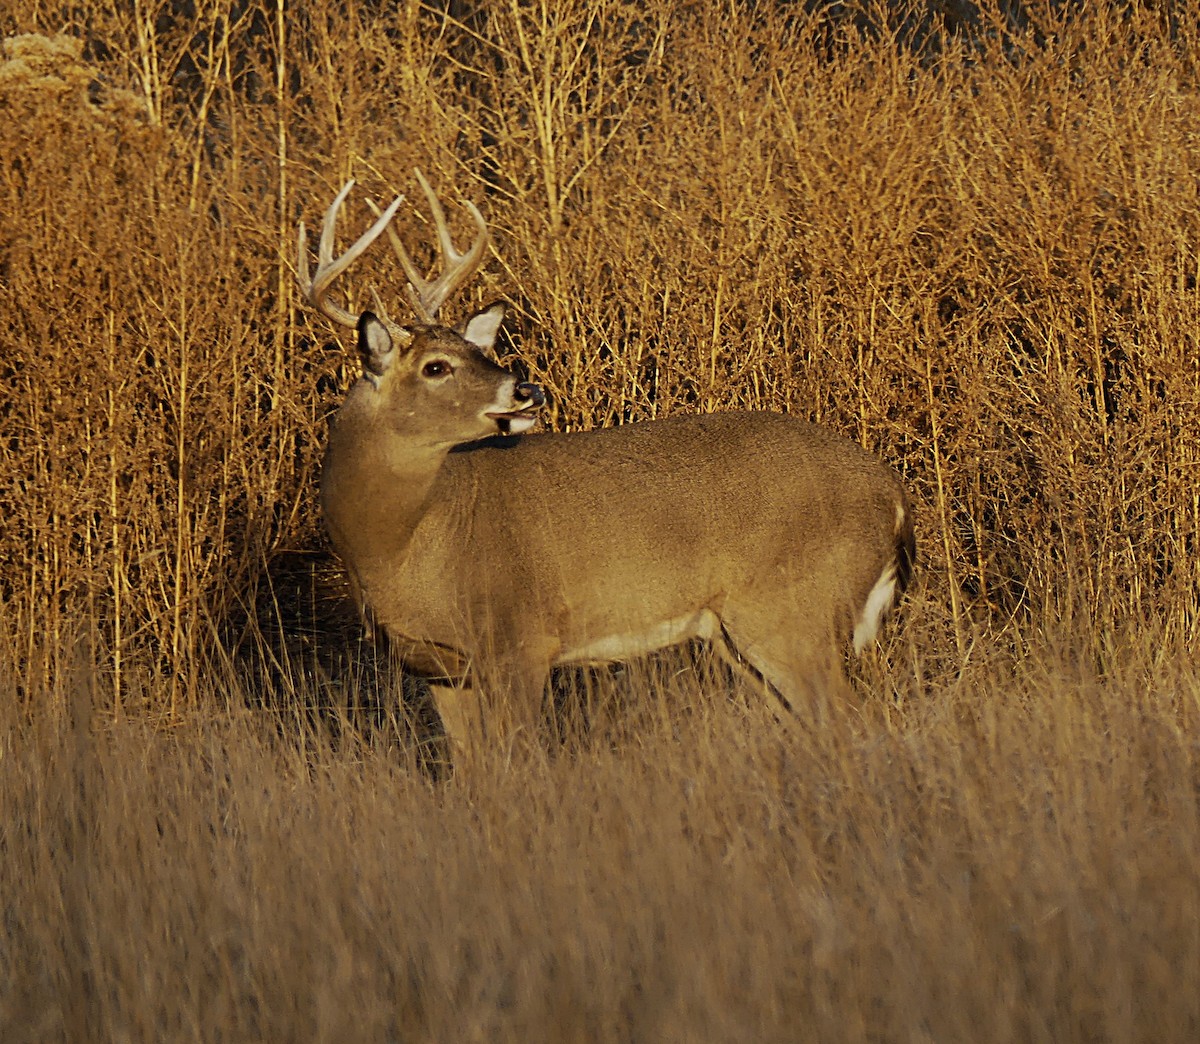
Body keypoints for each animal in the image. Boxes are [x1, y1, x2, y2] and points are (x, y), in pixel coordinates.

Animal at [297, 172, 915, 767]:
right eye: (436, 366)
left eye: (478, 353)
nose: (525, 389)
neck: (399, 546)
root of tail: (893, 494)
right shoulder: (439, 670)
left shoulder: (520, 638)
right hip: (734, 633)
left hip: (791, 610)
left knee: (859, 721)